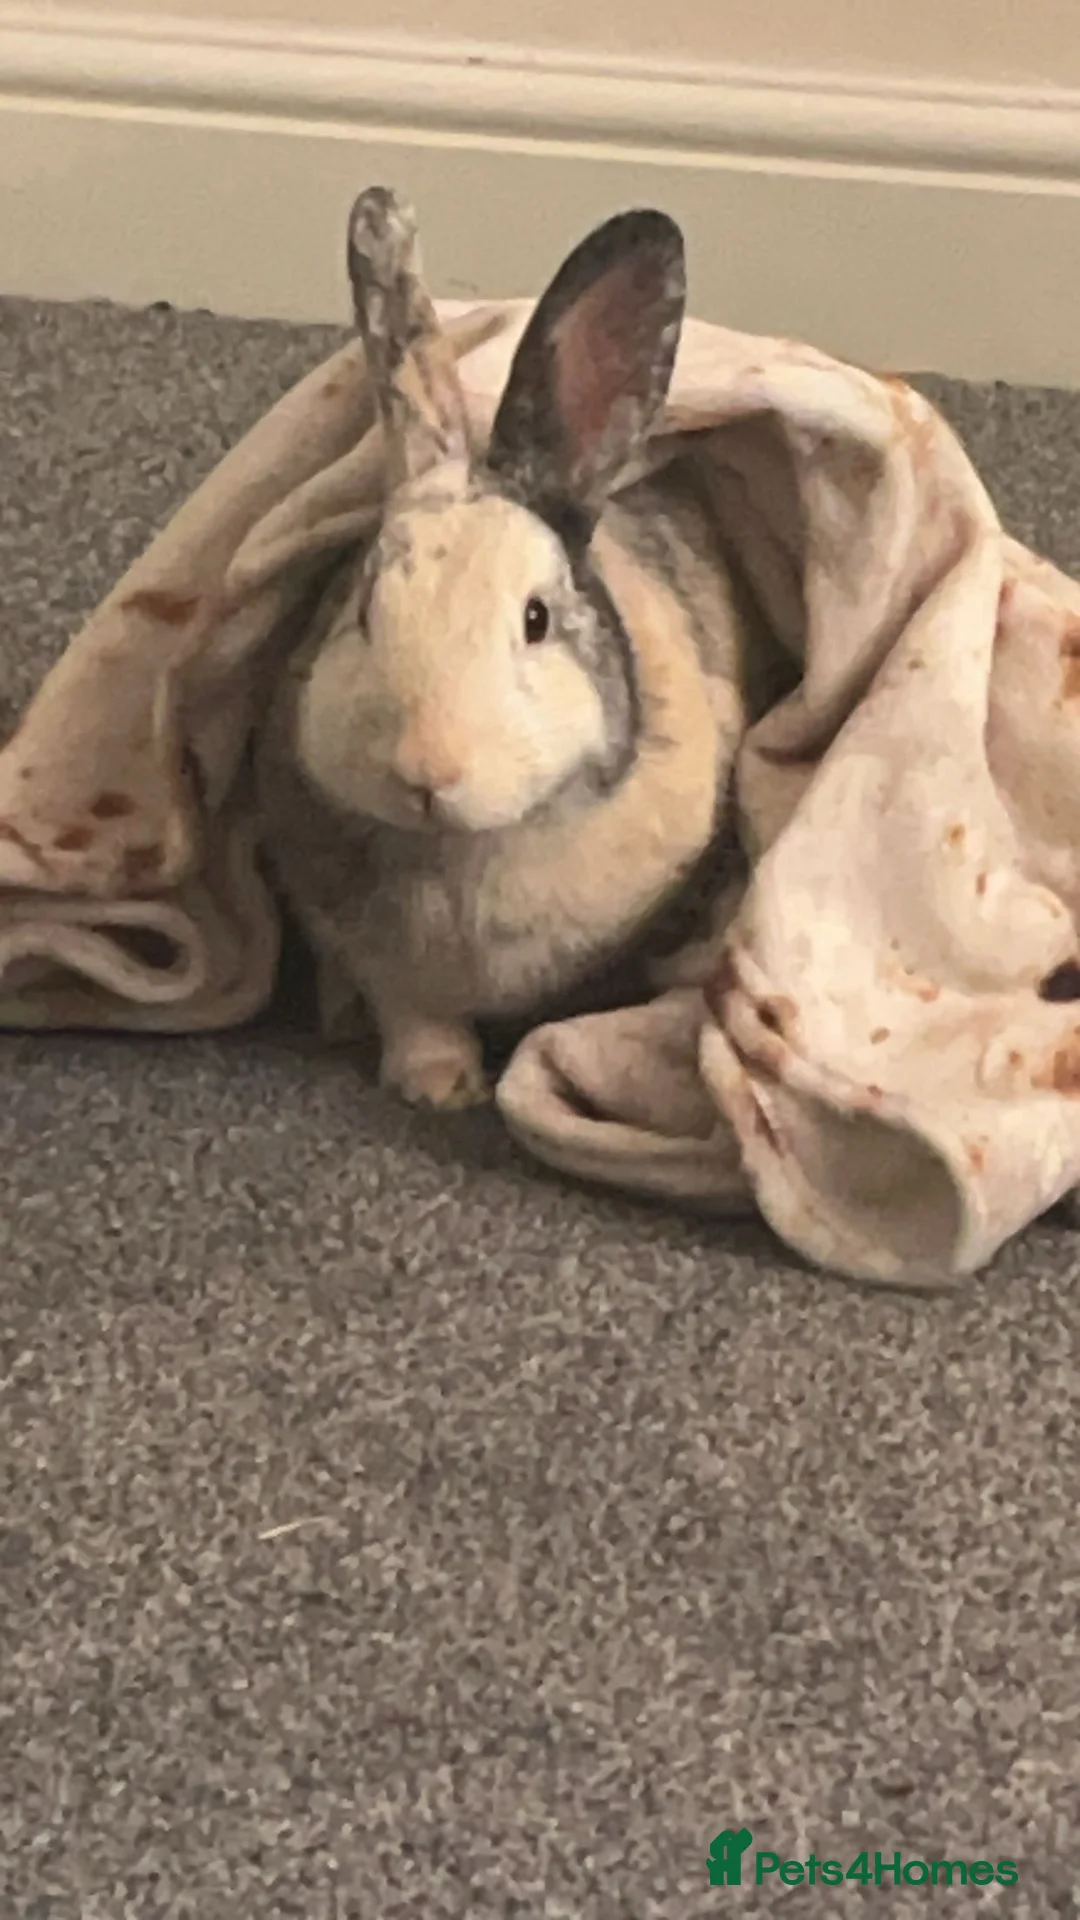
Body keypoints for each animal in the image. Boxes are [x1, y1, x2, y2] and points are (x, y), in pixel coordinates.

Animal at [255, 185, 761, 1109]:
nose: (428, 771)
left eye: (536, 619)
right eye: (361, 609)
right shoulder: (379, 958)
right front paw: (438, 1087)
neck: (470, 851)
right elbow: (411, 1011)